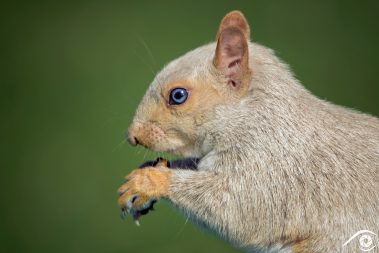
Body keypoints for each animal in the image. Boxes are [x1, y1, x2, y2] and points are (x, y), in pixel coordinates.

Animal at [117, 10, 378, 253]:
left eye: (178, 95)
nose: (132, 136)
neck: (255, 118)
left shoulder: (272, 171)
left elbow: (235, 209)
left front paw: (150, 182)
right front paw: (151, 170)